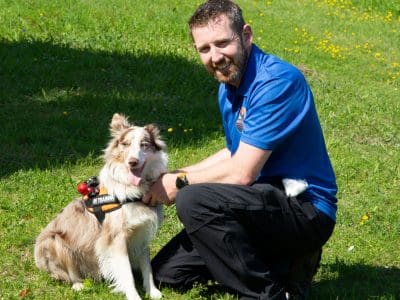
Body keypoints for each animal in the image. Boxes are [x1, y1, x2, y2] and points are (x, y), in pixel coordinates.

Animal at [33, 113, 166, 300]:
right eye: (125, 144)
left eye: (144, 144)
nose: (132, 162)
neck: (133, 191)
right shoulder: (116, 238)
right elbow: (126, 273)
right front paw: (134, 296)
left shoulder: (142, 233)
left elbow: (147, 266)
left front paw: (153, 291)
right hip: (53, 241)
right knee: (67, 274)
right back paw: (78, 285)